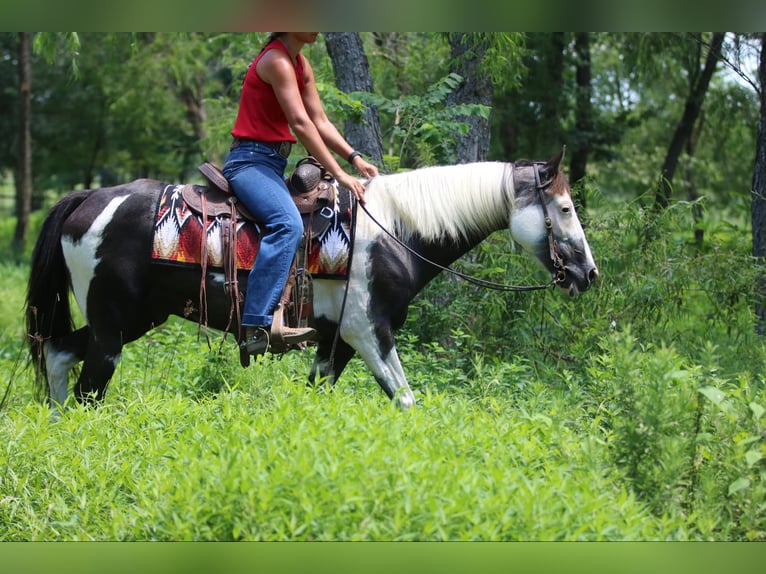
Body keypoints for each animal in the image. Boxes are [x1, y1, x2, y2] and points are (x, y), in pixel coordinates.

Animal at [25, 148, 598, 411]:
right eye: (565, 208)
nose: (587, 274)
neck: (394, 231)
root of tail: (89, 199)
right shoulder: (369, 333)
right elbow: (406, 400)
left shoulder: (334, 341)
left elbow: (316, 393)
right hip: (116, 327)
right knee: (87, 387)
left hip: (129, 320)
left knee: (56, 353)